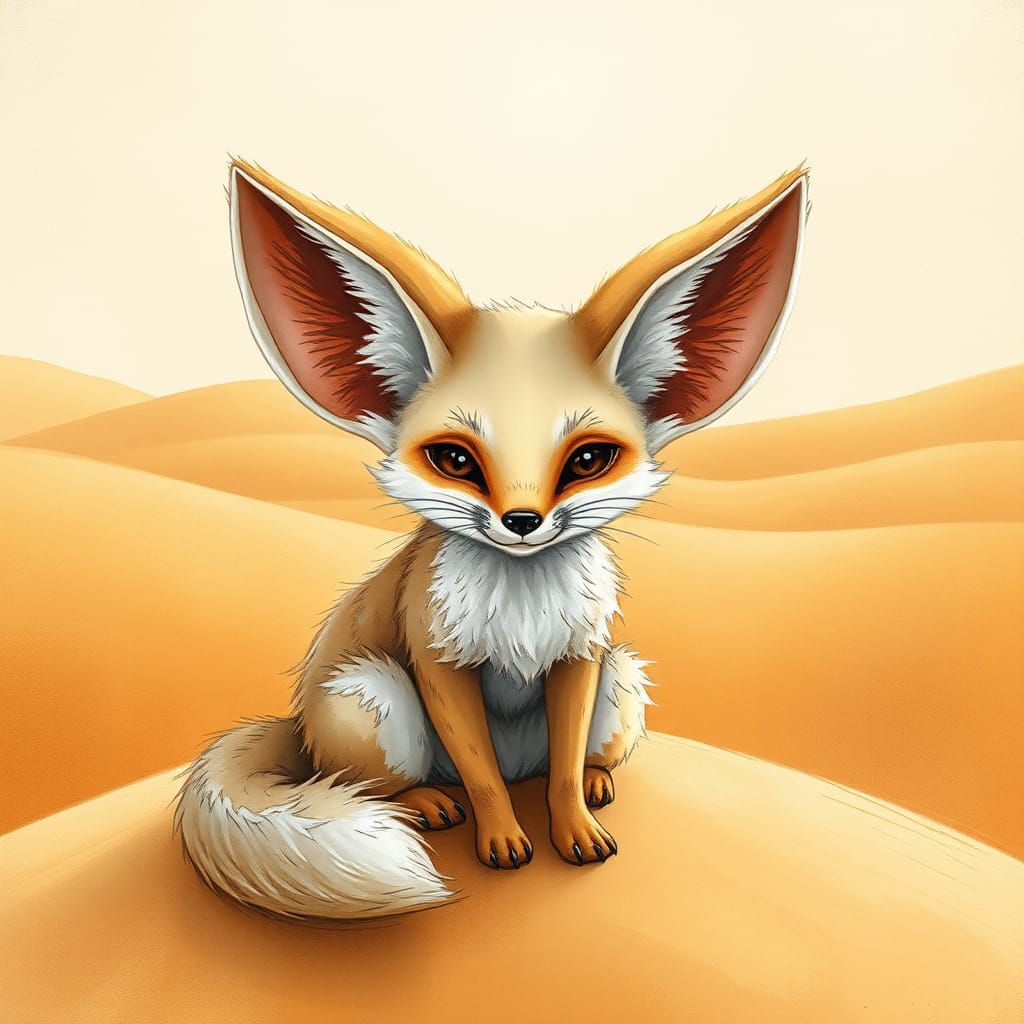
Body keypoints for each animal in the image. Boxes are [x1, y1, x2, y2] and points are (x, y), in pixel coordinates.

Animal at [175, 159, 808, 920]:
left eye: (588, 460)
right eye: (456, 459)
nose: (522, 522)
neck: (523, 610)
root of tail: (296, 728)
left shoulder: (580, 655)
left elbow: (559, 775)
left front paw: (575, 830)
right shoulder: (438, 659)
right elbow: (481, 778)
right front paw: (502, 840)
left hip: (623, 675)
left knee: (559, 762)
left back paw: (596, 779)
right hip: (373, 693)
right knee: (374, 784)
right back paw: (425, 800)